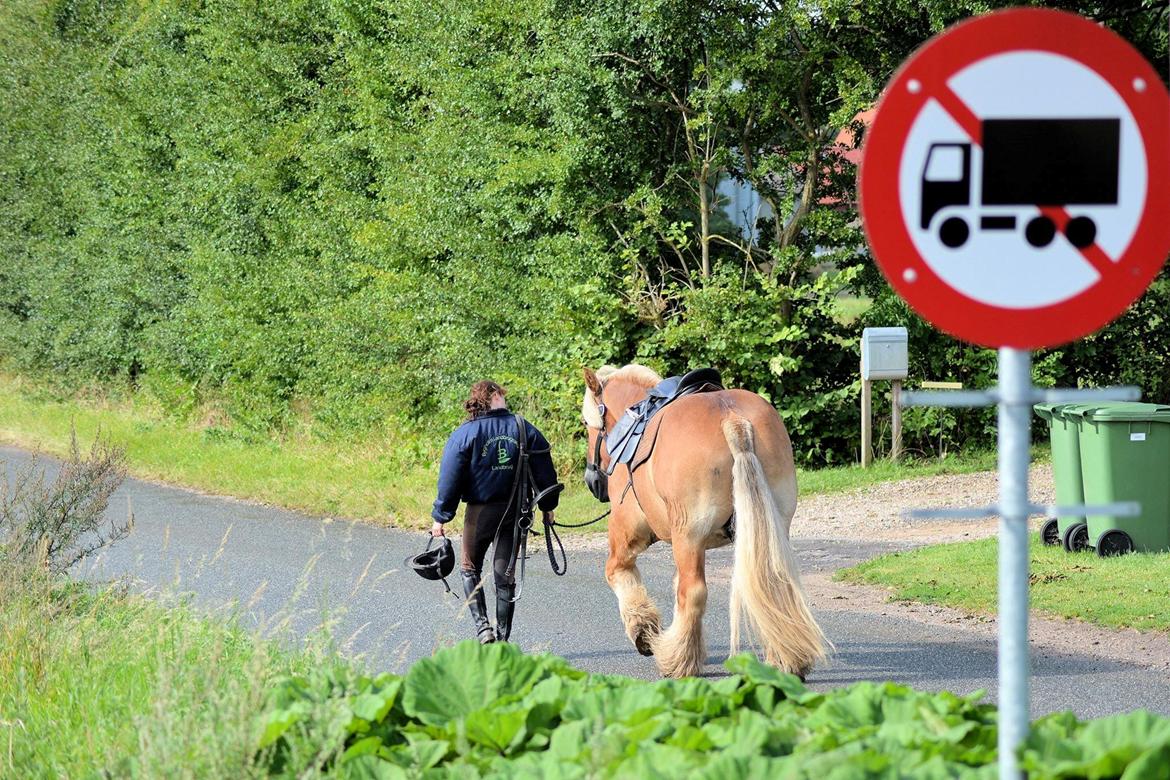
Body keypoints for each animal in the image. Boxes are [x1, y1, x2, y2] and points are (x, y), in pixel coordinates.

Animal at [580, 364, 828, 678]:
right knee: (773, 585)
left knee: (693, 594)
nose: (592, 480)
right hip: (772, 527)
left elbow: (617, 572)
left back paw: (678, 662)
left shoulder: (629, 533)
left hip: (689, 536)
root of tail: (733, 420)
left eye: (587, 423)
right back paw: (785, 661)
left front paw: (643, 633)